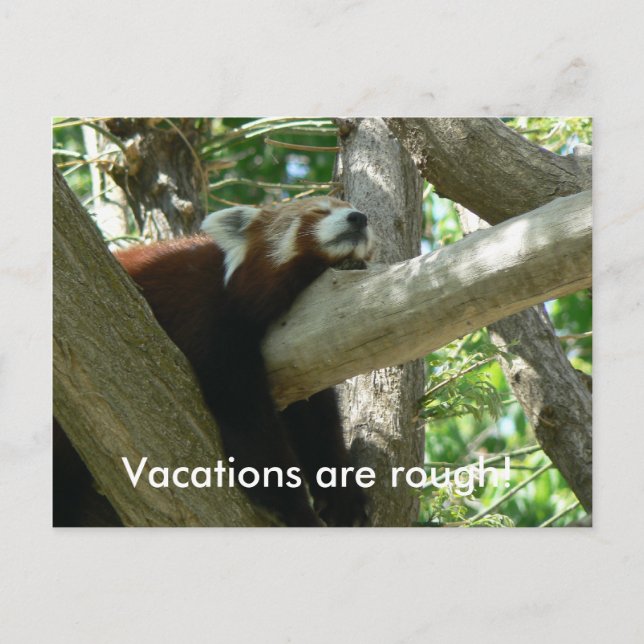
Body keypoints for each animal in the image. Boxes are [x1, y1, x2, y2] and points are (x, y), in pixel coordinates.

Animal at [53, 196, 374, 527]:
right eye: (319, 211)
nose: (358, 218)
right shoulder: (204, 312)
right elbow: (245, 416)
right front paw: (295, 510)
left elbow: (315, 419)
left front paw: (342, 497)